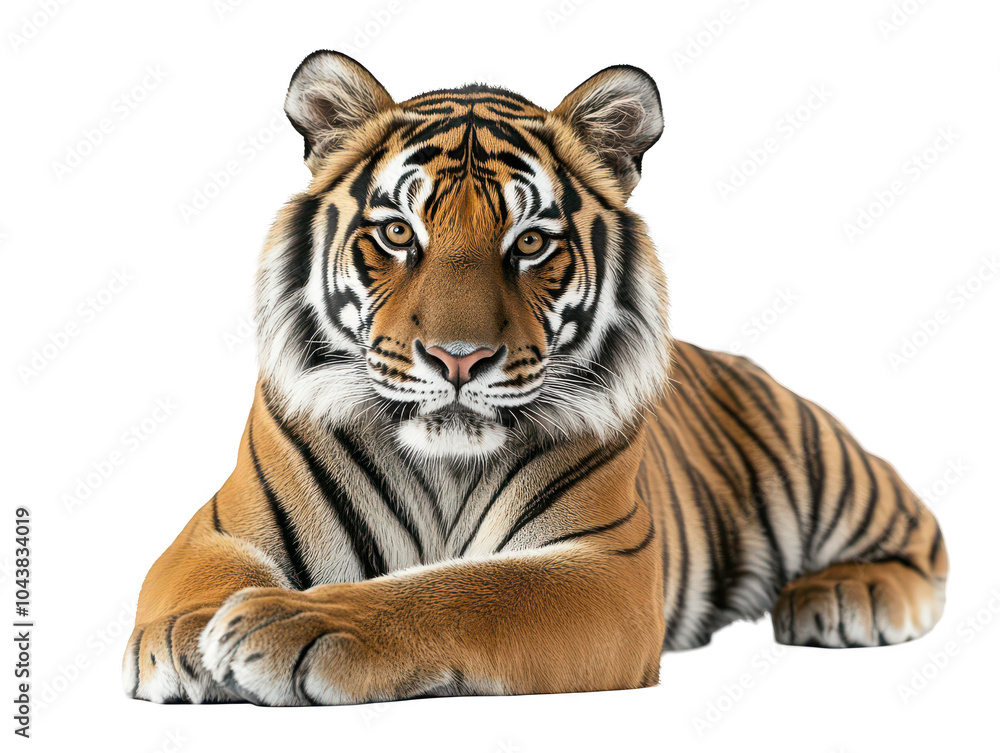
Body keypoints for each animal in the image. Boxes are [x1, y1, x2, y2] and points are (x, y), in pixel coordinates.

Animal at [123, 50, 948, 705]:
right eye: (397, 232)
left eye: (530, 243)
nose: (458, 358)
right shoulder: (217, 528)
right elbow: (192, 583)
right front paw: (186, 635)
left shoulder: (606, 568)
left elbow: (464, 588)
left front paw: (297, 621)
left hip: (828, 469)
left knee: (923, 537)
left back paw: (844, 593)